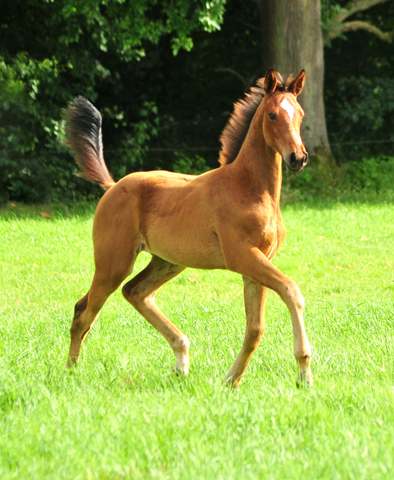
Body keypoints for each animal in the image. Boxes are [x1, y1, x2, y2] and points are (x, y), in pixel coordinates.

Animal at [63, 70, 310, 386]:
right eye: (272, 115)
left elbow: (255, 328)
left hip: (167, 262)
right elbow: (291, 291)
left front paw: (231, 381)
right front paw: (304, 371)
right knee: (83, 312)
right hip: (113, 264)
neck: (249, 188)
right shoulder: (243, 257)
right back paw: (70, 373)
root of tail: (113, 185)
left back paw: (181, 359)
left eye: (300, 114)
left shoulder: (256, 265)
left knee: (135, 292)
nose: (297, 157)